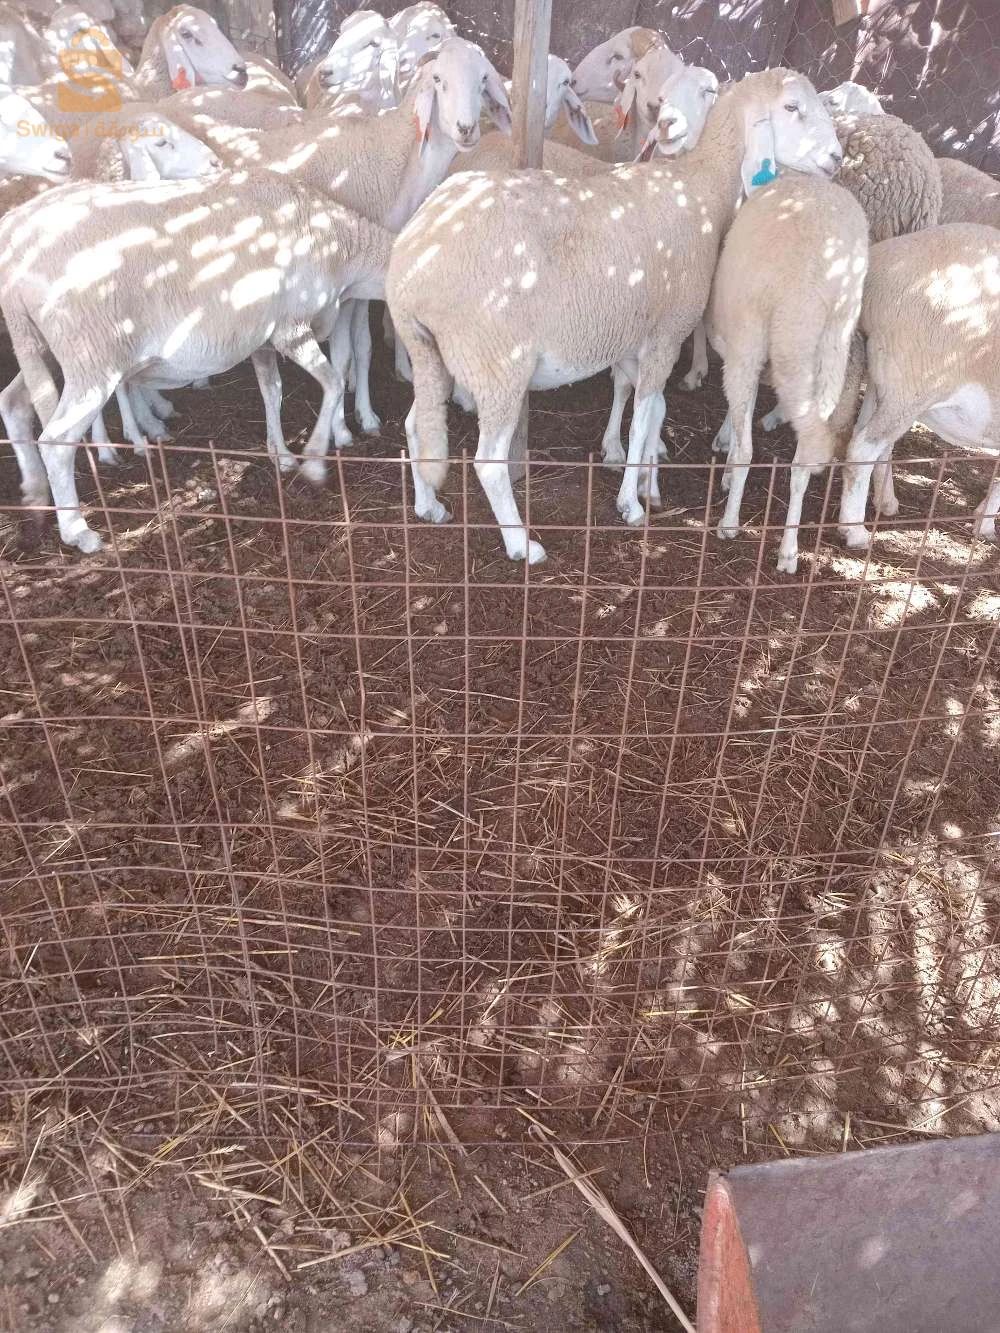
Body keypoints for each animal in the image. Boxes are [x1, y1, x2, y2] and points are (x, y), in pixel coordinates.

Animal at [0, 170, 393, 552]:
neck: (340, 246)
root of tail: (13, 258)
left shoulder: (262, 338)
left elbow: (273, 392)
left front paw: (280, 453)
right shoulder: (290, 328)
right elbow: (332, 382)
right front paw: (312, 462)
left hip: (41, 346)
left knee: (13, 403)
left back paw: (34, 495)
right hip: (90, 354)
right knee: (56, 441)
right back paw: (78, 531)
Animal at [386, 68, 844, 563]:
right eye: (792, 108)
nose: (838, 158)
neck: (700, 185)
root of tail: (411, 263)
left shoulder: (634, 337)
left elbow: (649, 408)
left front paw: (643, 478)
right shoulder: (667, 334)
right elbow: (643, 418)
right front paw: (630, 503)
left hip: (433, 352)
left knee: (415, 425)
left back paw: (428, 506)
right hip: (498, 363)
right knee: (488, 462)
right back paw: (521, 544)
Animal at [705, 175, 869, 573]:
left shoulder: (739, 346)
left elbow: (741, 433)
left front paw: (728, 481)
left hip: (755, 337)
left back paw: (733, 523)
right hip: (832, 349)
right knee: (803, 457)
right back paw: (789, 550)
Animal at [838, 223, 1000, 551]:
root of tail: (878, 267)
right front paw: (985, 525)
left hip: (884, 376)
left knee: (871, 438)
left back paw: (885, 502)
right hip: (912, 384)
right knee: (864, 446)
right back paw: (855, 532)